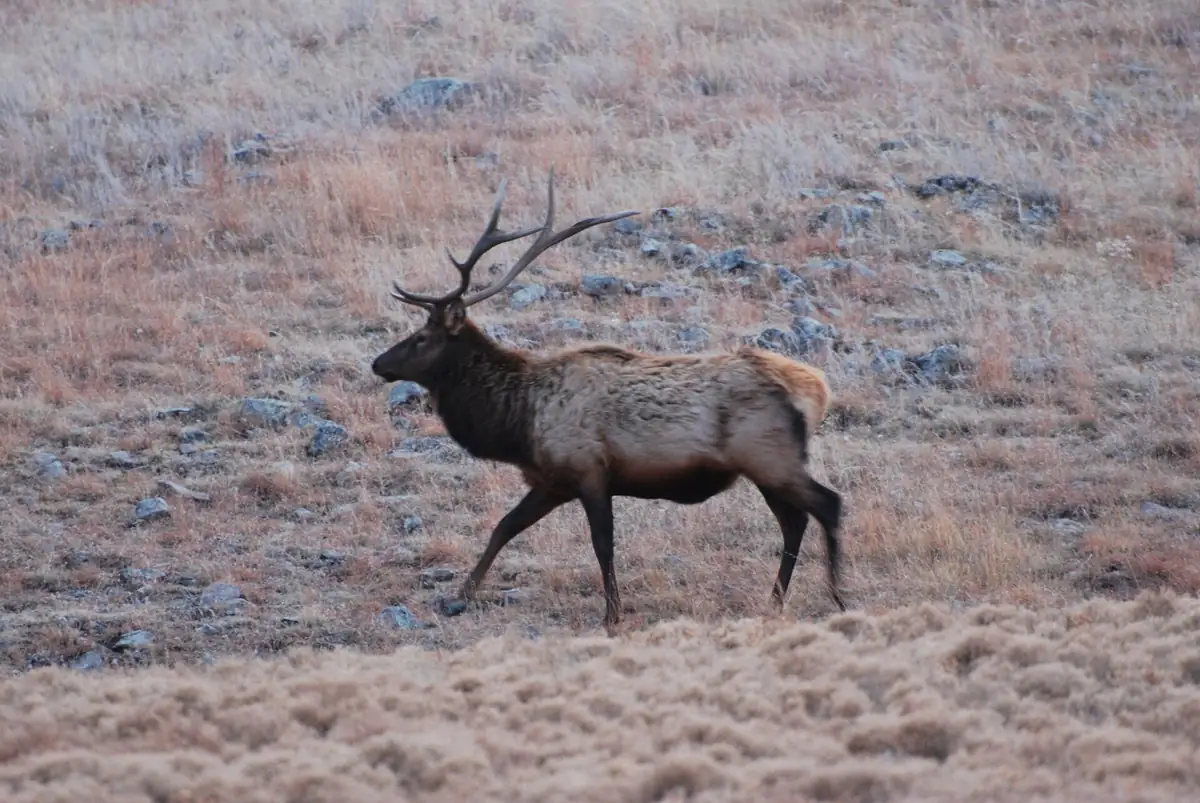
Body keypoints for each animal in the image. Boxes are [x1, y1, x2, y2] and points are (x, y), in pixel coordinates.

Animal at [371, 168, 846, 633]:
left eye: (420, 338)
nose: (378, 364)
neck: (518, 422)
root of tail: (817, 389)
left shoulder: (589, 470)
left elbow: (603, 545)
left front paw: (612, 614)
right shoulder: (552, 480)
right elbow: (504, 527)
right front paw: (460, 595)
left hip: (769, 455)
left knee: (827, 505)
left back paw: (837, 596)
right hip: (766, 466)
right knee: (794, 521)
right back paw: (776, 600)